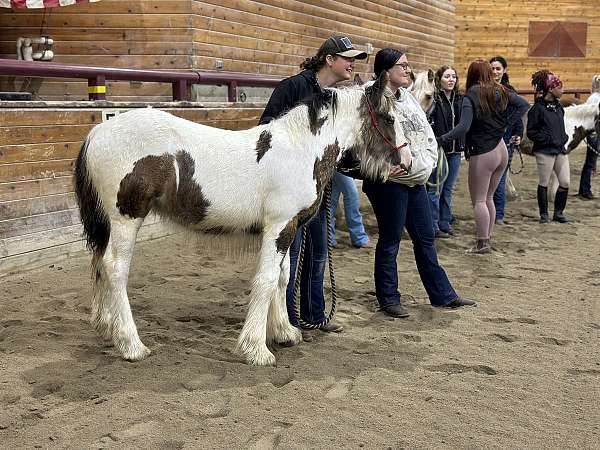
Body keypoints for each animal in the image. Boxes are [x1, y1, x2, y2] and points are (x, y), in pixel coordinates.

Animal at [74, 71, 412, 366]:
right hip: (126, 218)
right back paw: (131, 345)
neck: (300, 150)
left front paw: (285, 333)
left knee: (100, 263)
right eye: (390, 118)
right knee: (115, 268)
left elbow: (283, 277)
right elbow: (266, 279)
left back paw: (107, 328)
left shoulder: (288, 229)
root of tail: (97, 132)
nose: (406, 162)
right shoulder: (278, 228)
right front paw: (256, 349)